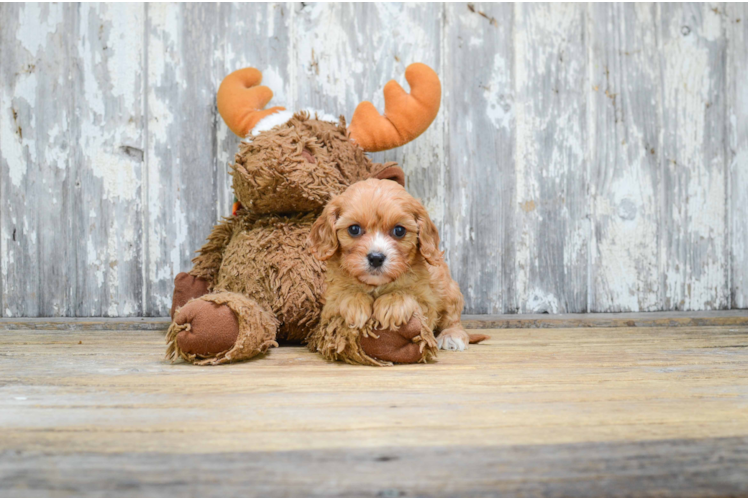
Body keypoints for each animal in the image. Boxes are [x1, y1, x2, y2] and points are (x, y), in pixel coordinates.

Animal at [308, 178, 488, 366]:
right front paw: (355, 305)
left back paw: (452, 336)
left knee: (453, 319)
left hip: (448, 291)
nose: (376, 258)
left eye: (399, 230)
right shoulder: (329, 302)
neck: (376, 285)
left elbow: (409, 296)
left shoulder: (427, 299)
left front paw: (392, 305)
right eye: (354, 229)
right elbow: (343, 295)